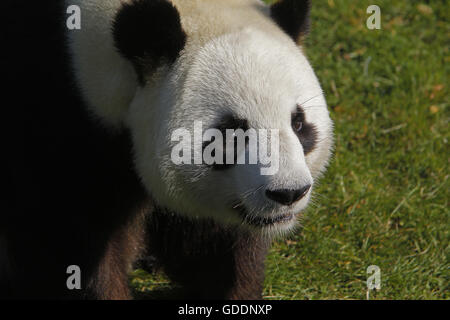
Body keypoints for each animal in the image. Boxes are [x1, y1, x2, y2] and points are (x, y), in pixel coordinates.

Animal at [1, 0, 332, 300]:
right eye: (232, 132)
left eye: (299, 123)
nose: (289, 193)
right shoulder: (55, 124)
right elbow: (68, 250)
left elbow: (220, 245)